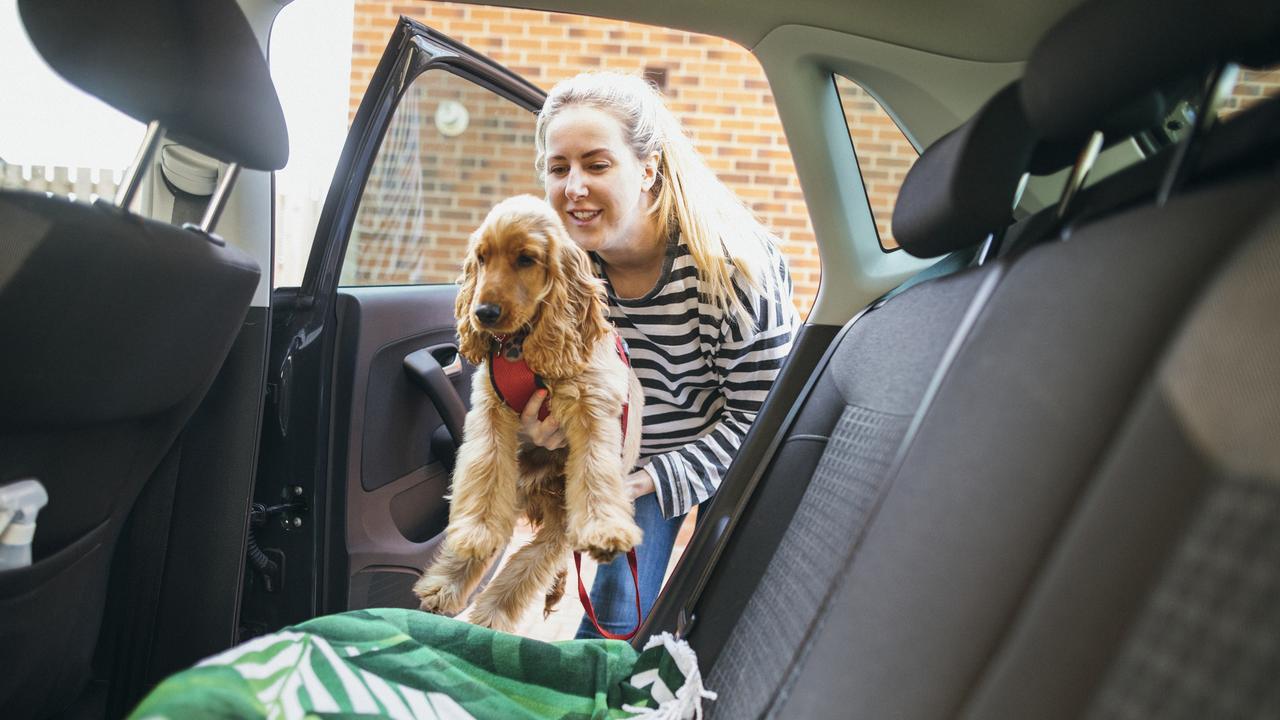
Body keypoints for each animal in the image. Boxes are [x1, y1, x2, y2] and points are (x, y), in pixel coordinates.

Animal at [414, 192, 645, 627]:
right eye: (482, 258)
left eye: (525, 259)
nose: (483, 313)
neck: (524, 347)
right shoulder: (491, 409)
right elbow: (484, 470)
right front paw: (475, 533)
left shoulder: (592, 409)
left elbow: (596, 469)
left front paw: (605, 529)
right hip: (517, 480)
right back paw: (444, 586)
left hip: (562, 518)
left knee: (530, 563)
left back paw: (488, 619)